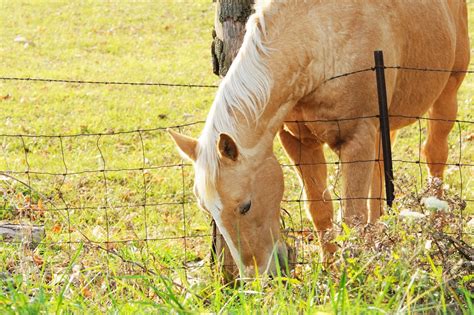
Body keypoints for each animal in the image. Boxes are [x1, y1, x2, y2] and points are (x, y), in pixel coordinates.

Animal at [168, 0, 468, 278]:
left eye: (246, 206)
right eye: (207, 210)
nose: (259, 276)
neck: (318, 37)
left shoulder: (357, 138)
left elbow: (352, 216)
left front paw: (355, 277)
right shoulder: (300, 142)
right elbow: (320, 209)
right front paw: (333, 269)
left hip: (447, 95)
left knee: (434, 157)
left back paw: (438, 227)